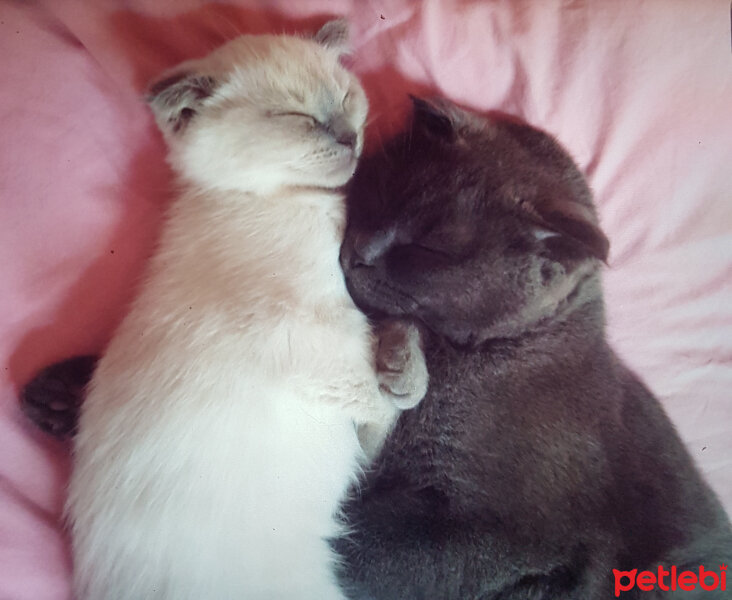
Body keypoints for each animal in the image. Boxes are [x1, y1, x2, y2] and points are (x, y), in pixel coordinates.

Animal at [67, 19, 428, 600]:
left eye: (345, 98)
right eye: (298, 119)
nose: (349, 137)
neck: (282, 200)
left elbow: (381, 405)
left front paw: (402, 361)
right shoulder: (305, 335)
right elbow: (371, 400)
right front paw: (398, 376)